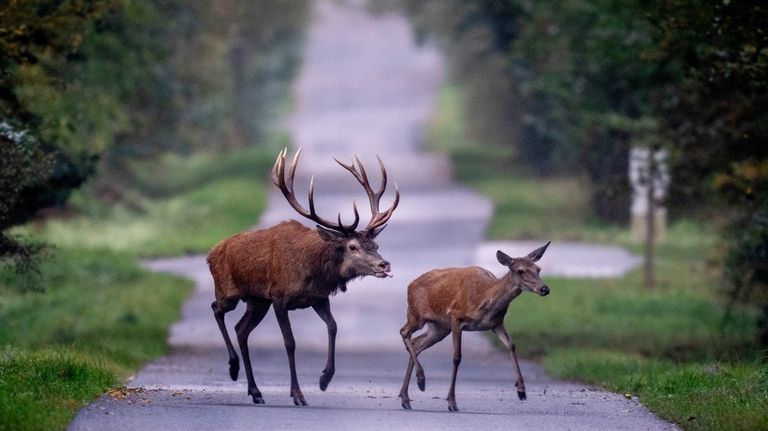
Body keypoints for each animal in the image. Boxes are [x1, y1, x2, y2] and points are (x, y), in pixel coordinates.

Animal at [210, 148, 402, 404]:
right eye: (352, 246)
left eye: (376, 244)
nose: (384, 264)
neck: (313, 271)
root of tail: (211, 253)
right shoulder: (279, 297)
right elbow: (290, 342)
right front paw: (297, 394)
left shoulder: (319, 298)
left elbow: (333, 327)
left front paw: (324, 379)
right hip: (228, 290)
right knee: (217, 309)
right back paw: (233, 367)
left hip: (257, 300)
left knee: (241, 329)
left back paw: (255, 391)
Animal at [396, 243, 552, 412]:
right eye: (520, 270)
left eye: (538, 269)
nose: (545, 289)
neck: (485, 296)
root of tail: (409, 286)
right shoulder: (456, 317)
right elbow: (457, 357)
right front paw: (452, 402)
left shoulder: (496, 323)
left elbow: (511, 345)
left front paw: (521, 390)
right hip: (416, 314)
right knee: (404, 332)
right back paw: (420, 380)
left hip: (439, 328)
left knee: (416, 343)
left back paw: (406, 398)